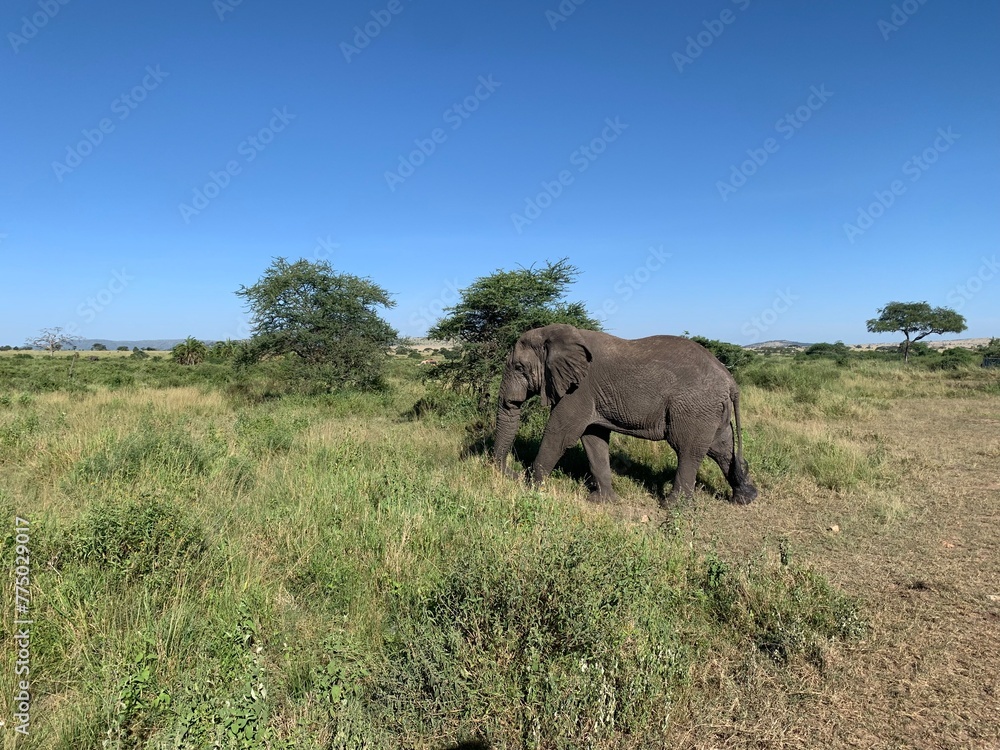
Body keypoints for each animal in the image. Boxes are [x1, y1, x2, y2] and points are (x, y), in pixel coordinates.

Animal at [492, 324, 758, 506]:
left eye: (519, 368)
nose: (513, 472)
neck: (556, 333)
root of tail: (730, 380)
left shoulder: (579, 389)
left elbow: (560, 433)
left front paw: (531, 488)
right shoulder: (593, 394)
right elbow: (594, 438)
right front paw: (602, 501)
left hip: (694, 407)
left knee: (687, 450)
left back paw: (673, 507)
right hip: (712, 410)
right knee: (722, 448)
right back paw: (745, 498)